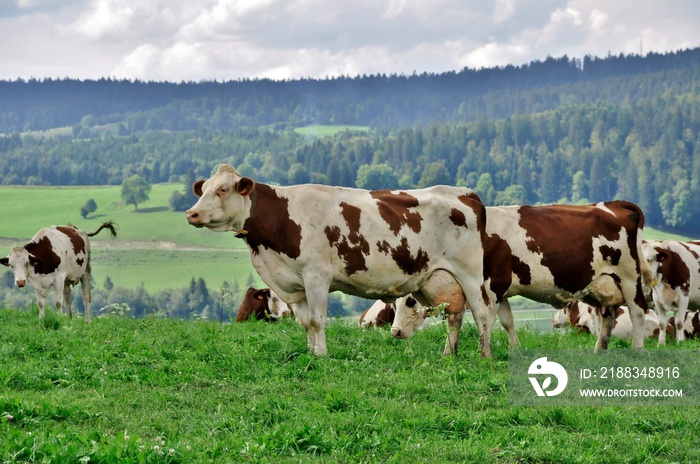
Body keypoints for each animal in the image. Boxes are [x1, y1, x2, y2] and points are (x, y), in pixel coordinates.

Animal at [186, 165, 492, 358]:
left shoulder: (316, 276)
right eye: (203, 190)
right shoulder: (295, 283)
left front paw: (321, 355)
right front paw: (311, 352)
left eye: (223, 189)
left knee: (481, 313)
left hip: (470, 275)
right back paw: (448, 355)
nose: (191, 214)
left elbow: (317, 320)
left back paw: (484, 354)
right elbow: (305, 323)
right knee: (455, 315)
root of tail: (466, 192)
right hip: (437, 279)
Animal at [388, 201, 652, 354]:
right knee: (608, 316)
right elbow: (507, 321)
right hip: (602, 285)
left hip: (629, 278)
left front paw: (485, 352)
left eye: (410, 301)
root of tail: (613, 204)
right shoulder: (501, 290)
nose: (395, 332)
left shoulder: (492, 286)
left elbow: (487, 320)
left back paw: (637, 350)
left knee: (637, 312)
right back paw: (599, 351)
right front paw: (515, 349)